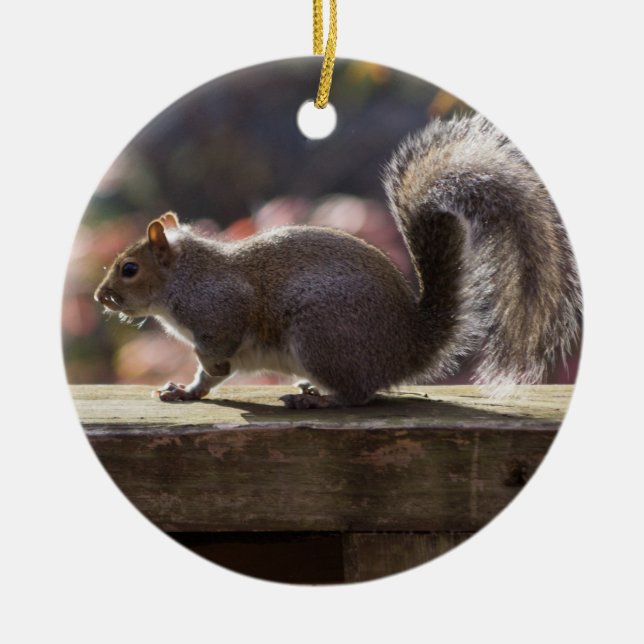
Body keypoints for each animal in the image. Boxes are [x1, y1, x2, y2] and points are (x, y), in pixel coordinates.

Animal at [94, 114, 582, 409]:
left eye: (129, 269)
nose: (102, 296)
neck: (183, 276)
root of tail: (409, 345)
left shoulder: (220, 308)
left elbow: (218, 354)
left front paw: (206, 374)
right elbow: (210, 377)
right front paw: (186, 390)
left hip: (321, 333)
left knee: (357, 395)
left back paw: (316, 398)